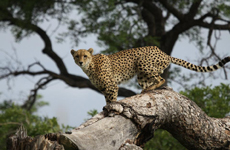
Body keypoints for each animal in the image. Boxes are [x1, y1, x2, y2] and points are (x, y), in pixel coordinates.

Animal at [71, 46, 230, 103]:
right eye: (77, 56)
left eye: (85, 56)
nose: (80, 62)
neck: (91, 66)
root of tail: (164, 53)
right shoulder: (104, 88)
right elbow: (107, 99)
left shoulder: (111, 86)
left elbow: (111, 100)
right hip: (141, 75)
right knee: (152, 80)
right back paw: (145, 90)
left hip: (143, 63)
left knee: (161, 79)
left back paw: (149, 89)